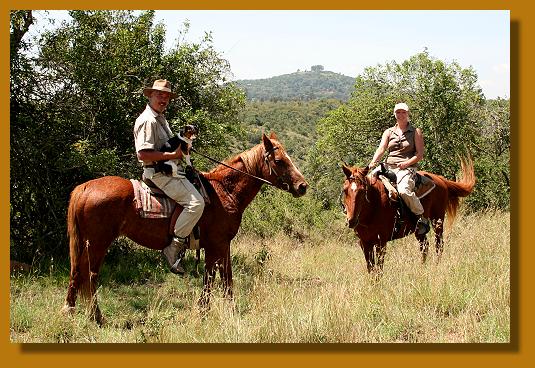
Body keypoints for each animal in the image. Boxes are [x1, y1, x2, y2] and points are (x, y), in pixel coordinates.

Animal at [60, 134, 308, 324]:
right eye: (279, 160)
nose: (302, 186)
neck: (224, 191)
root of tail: (84, 188)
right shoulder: (215, 245)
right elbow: (211, 279)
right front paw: (204, 313)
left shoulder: (223, 246)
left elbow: (227, 278)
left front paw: (230, 310)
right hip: (97, 244)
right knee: (88, 275)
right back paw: (92, 316)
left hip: (87, 244)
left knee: (78, 274)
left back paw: (75, 312)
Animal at [342, 157, 476, 274]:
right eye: (344, 190)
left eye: (363, 190)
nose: (351, 220)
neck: (372, 209)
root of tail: (440, 179)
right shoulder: (365, 243)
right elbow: (371, 269)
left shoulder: (381, 242)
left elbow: (379, 270)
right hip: (420, 230)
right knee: (425, 246)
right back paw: (422, 269)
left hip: (437, 220)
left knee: (439, 245)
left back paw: (436, 266)